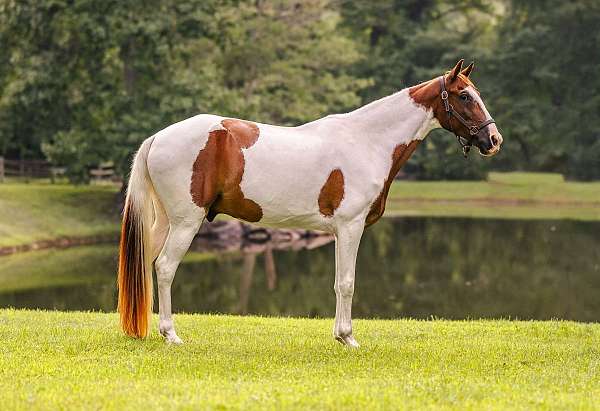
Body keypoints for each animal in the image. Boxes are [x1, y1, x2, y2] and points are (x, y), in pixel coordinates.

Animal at [116, 58, 502, 348]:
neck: (368, 141)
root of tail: (158, 137)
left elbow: (338, 281)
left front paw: (339, 335)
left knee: (147, 265)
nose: (494, 139)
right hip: (186, 221)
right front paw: (348, 338)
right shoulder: (351, 226)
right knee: (166, 267)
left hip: (165, 222)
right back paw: (170, 335)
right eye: (464, 95)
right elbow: (347, 282)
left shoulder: (339, 231)